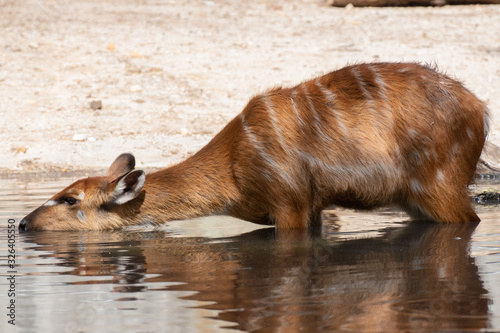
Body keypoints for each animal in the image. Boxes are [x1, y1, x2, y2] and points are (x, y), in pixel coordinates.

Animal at [18, 62, 488, 231]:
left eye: (69, 198)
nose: (21, 224)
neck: (233, 174)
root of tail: (480, 110)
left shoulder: (291, 202)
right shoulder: (310, 207)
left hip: (440, 187)